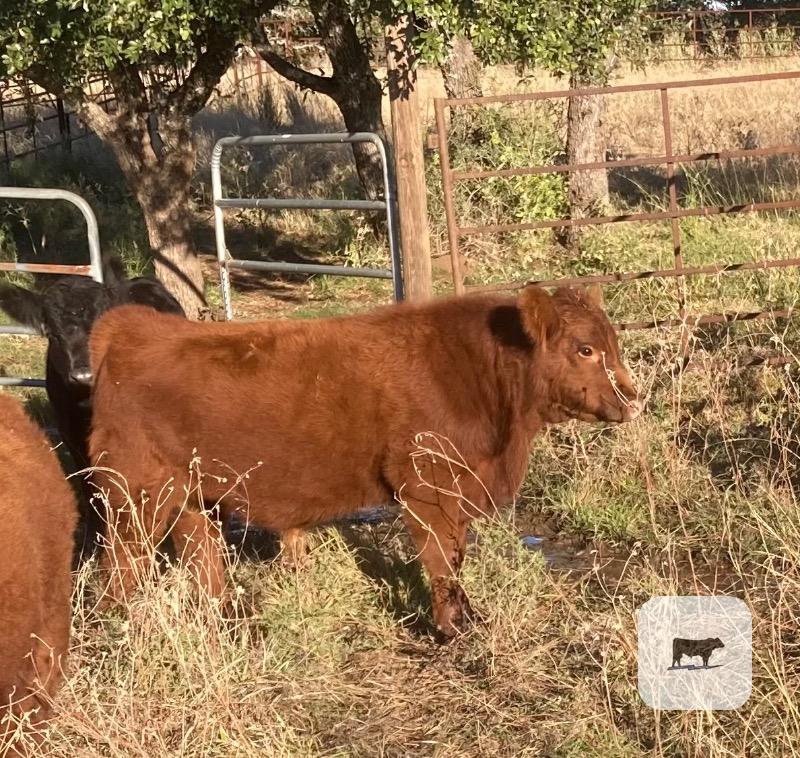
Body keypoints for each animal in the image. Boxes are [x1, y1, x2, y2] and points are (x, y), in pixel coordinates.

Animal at [0, 258, 184, 561]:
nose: (83, 375)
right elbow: (91, 493)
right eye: (52, 333)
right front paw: (94, 545)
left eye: (103, 326)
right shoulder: (73, 439)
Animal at [88, 285, 641, 639]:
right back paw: (117, 626)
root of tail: (131, 327)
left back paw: (228, 618)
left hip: (188, 494)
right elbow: (443, 559)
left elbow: (456, 555)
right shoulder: (428, 489)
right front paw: (452, 629)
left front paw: (465, 619)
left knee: (201, 554)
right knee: (122, 562)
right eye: (585, 349)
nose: (635, 400)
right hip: (136, 491)